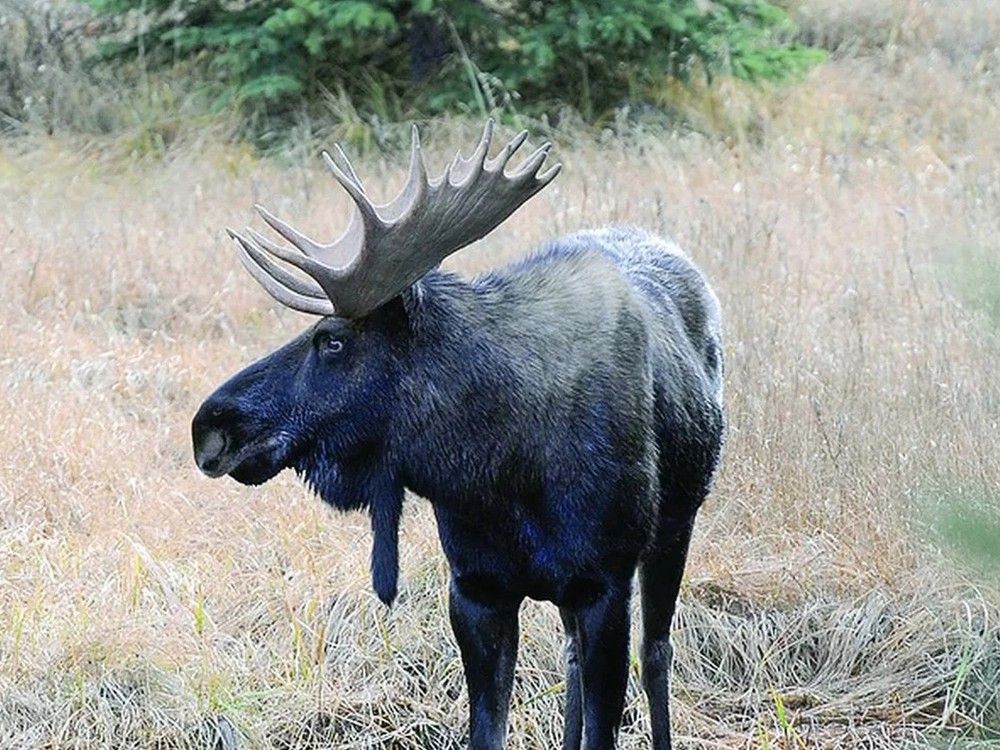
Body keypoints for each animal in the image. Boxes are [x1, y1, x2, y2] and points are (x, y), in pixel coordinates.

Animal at [192, 120, 725, 750]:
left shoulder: (605, 582)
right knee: (571, 657)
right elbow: (488, 730)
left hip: (675, 523)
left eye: (333, 340)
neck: (506, 473)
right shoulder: (475, 588)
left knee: (657, 651)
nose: (209, 426)